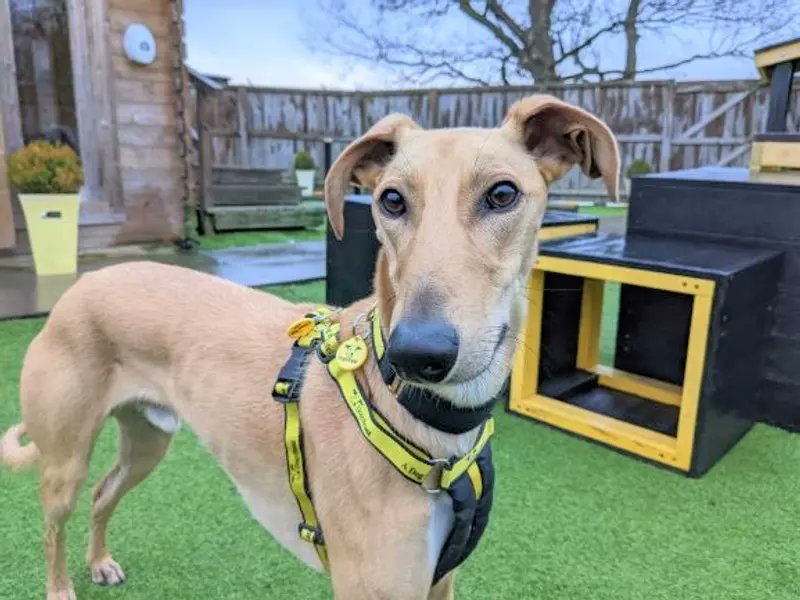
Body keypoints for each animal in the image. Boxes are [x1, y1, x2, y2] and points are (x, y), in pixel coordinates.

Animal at [0, 96, 620, 596]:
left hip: (147, 440)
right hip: (65, 459)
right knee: (54, 520)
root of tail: (80, 285)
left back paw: (99, 562)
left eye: (503, 193)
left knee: (104, 493)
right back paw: (61, 587)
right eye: (391, 200)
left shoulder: (439, 582)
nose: (417, 354)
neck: (431, 425)